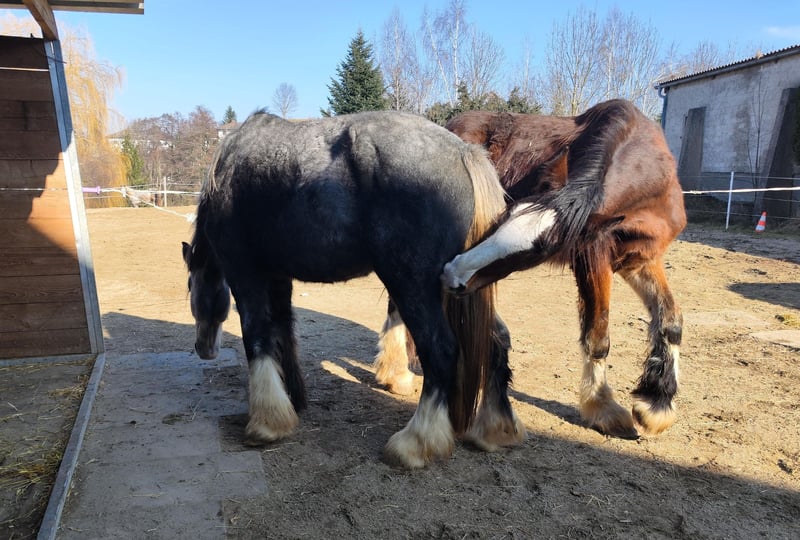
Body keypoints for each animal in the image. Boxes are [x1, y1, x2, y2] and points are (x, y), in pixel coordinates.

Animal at [182, 110, 525, 469]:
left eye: (190, 287)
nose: (202, 348)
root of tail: (463, 152)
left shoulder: (245, 275)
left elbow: (258, 338)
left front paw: (267, 423)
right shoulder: (278, 278)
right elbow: (283, 333)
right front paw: (292, 399)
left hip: (413, 284)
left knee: (441, 351)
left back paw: (415, 444)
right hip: (462, 283)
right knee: (498, 339)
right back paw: (496, 430)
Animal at [377, 99, 686, 439]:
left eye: (541, 247)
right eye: (504, 215)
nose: (453, 274)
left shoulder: (640, 260)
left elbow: (670, 321)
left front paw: (657, 405)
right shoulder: (593, 256)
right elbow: (598, 334)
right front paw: (603, 408)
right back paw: (396, 373)